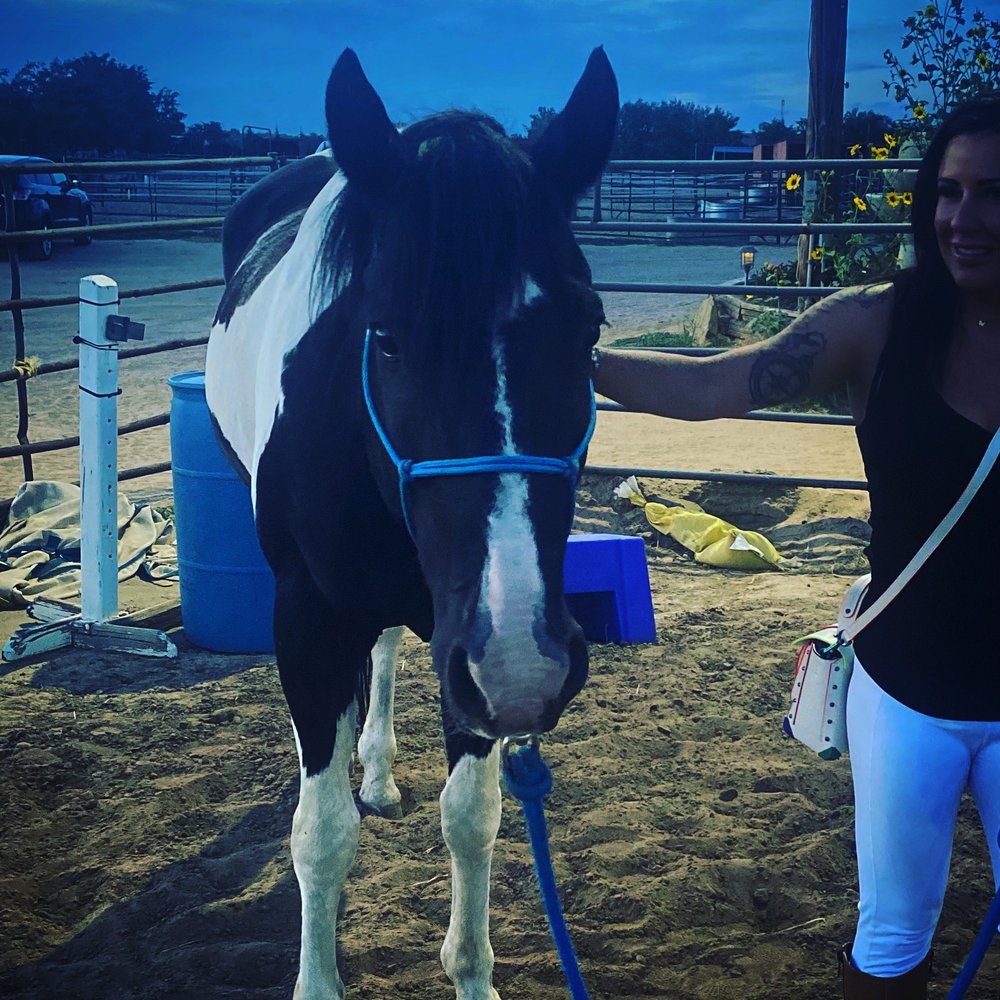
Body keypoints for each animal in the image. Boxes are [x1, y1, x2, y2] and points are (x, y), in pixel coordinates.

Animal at [204, 46, 618, 999]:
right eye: (386, 335)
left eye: (587, 331)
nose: (526, 665)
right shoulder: (311, 616)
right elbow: (320, 836)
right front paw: (317, 983)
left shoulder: (468, 644)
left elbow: (472, 816)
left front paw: (471, 974)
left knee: (389, 652)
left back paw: (381, 769)